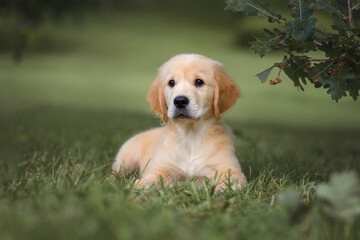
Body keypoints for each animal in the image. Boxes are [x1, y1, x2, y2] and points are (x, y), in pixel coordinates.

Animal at [112, 53, 248, 189]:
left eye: (199, 82)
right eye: (171, 82)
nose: (180, 101)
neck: (191, 136)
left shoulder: (230, 169)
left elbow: (230, 181)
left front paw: (218, 188)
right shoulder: (162, 168)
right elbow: (153, 178)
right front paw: (139, 184)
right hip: (125, 159)